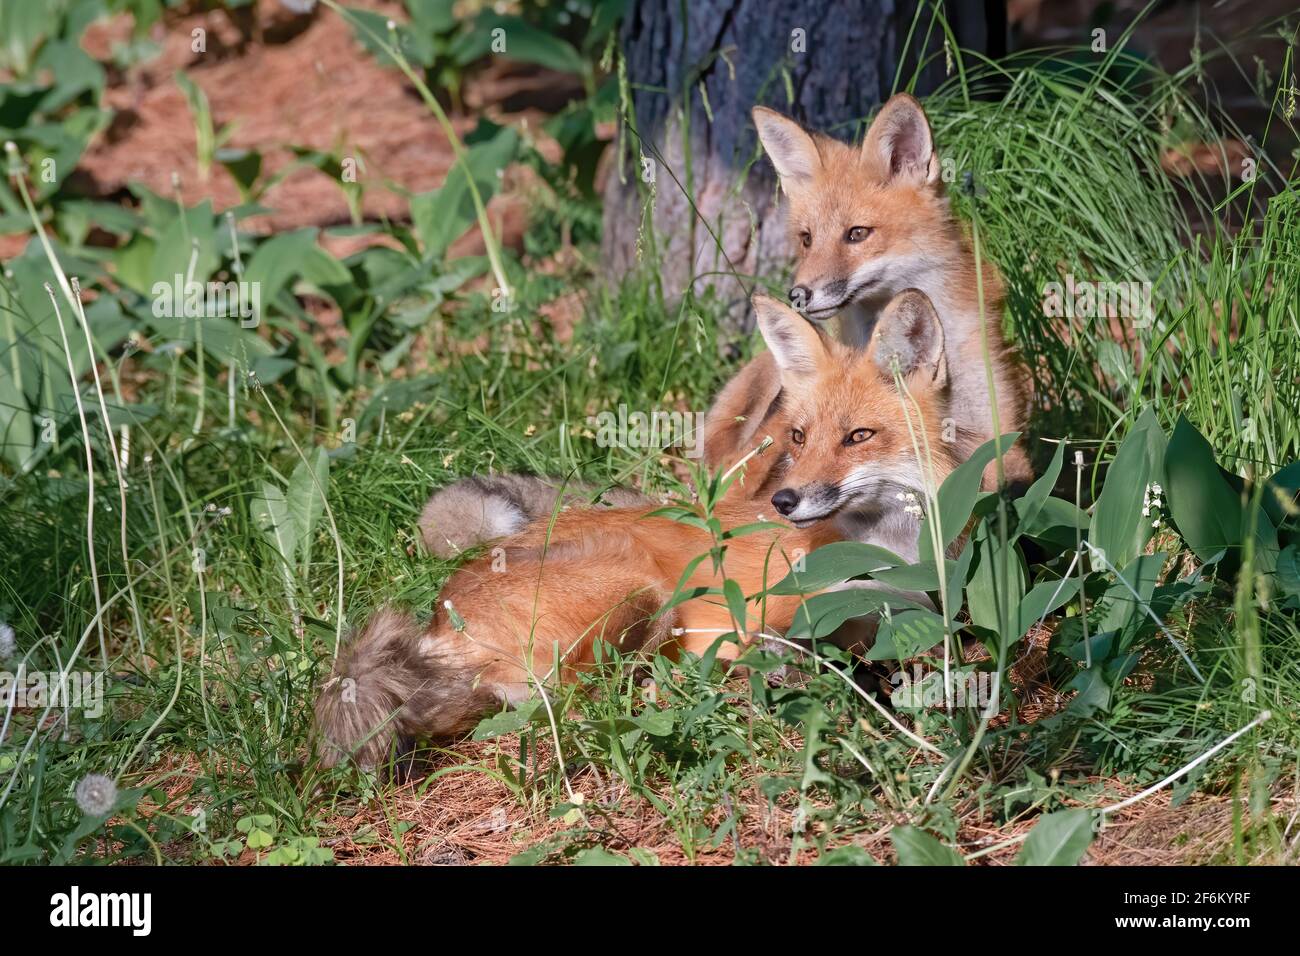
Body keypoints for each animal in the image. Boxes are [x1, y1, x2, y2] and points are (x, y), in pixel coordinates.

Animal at [317, 287, 956, 764]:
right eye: (798, 437)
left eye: (858, 436)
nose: (785, 500)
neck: (884, 553)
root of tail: (435, 622)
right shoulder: (774, 612)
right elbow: (809, 649)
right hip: (641, 595)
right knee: (579, 699)